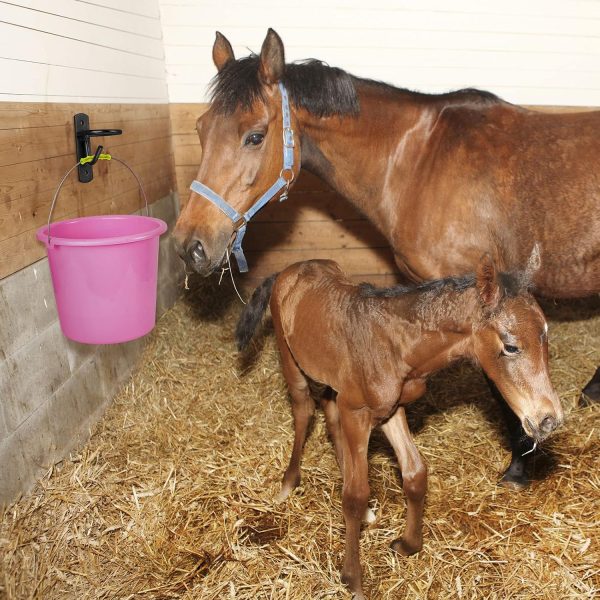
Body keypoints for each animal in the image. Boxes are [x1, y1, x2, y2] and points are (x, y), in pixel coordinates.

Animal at [236, 254, 564, 600]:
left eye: (545, 335)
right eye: (511, 346)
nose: (549, 419)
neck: (396, 345)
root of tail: (288, 270)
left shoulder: (390, 410)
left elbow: (414, 473)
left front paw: (407, 544)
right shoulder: (357, 412)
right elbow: (355, 495)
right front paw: (352, 580)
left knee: (329, 414)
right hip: (291, 359)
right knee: (303, 411)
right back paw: (288, 483)